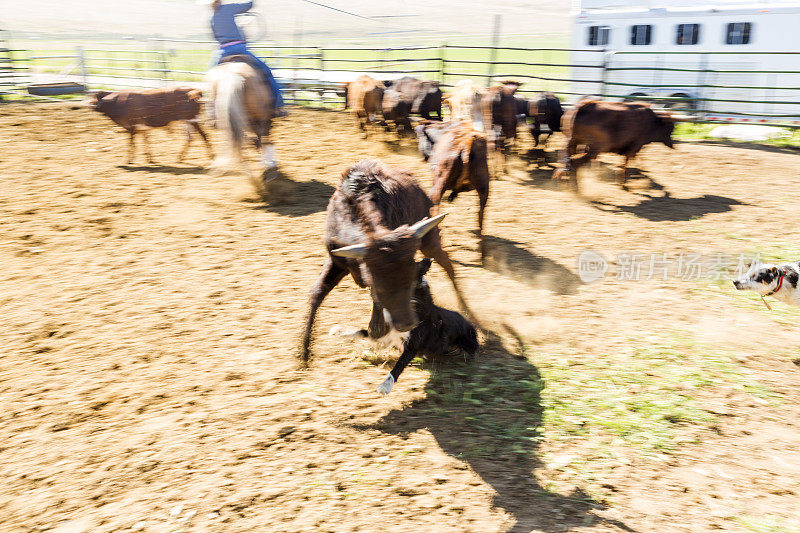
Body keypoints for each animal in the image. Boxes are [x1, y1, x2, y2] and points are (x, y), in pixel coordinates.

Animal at [330, 258, 478, 394]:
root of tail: (471, 325)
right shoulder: (386, 333)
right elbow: (362, 332)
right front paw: (340, 332)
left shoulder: (412, 345)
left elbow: (398, 365)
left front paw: (385, 386)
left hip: (467, 342)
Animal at [416, 120, 490, 254]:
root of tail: (465, 141)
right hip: (484, 188)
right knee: (480, 214)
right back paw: (482, 249)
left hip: (438, 185)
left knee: (435, 208)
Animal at [552, 98, 680, 188]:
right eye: (670, 127)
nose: (672, 144)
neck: (652, 120)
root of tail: (583, 106)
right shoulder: (633, 147)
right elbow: (626, 163)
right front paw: (622, 181)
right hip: (594, 149)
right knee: (574, 162)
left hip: (573, 142)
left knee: (566, 158)